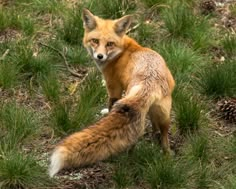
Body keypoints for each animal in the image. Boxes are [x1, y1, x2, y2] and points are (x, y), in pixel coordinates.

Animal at [48, 8, 175, 177]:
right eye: (95, 41)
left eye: (109, 44)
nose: (99, 56)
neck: (122, 52)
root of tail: (149, 82)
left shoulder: (114, 88)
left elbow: (110, 107)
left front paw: (105, 113)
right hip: (163, 113)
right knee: (164, 135)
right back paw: (164, 153)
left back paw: (129, 156)